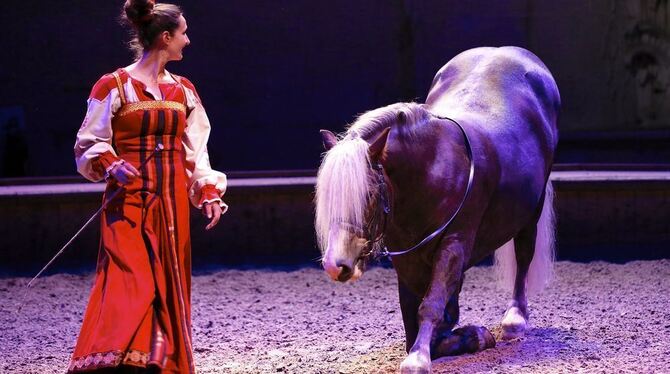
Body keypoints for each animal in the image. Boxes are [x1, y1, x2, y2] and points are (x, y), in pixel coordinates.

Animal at [316, 45, 560, 372]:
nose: (335, 264)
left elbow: (430, 305)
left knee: (524, 255)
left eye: (368, 194)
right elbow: (416, 314)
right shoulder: (407, 256)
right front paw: (469, 336)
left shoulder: (454, 244)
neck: (433, 170)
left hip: (532, 209)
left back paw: (515, 319)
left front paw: (419, 358)